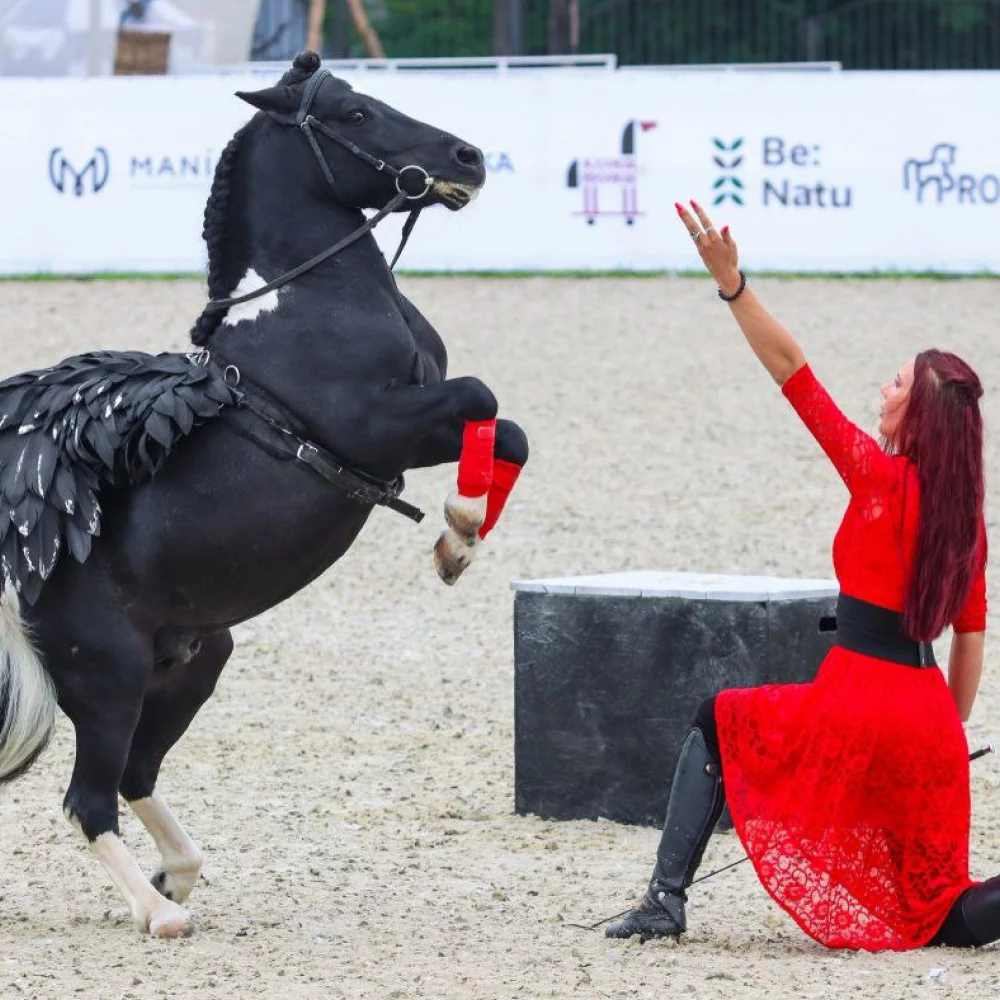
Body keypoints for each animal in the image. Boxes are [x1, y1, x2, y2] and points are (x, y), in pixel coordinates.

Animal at [0, 52, 528, 936]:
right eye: (355, 114)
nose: (469, 158)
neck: (309, 301)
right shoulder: (376, 424)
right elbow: (482, 396)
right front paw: (457, 528)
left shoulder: (416, 431)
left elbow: (505, 430)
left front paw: (458, 542)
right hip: (107, 677)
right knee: (89, 800)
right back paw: (159, 911)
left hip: (191, 665)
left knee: (137, 776)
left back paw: (177, 875)